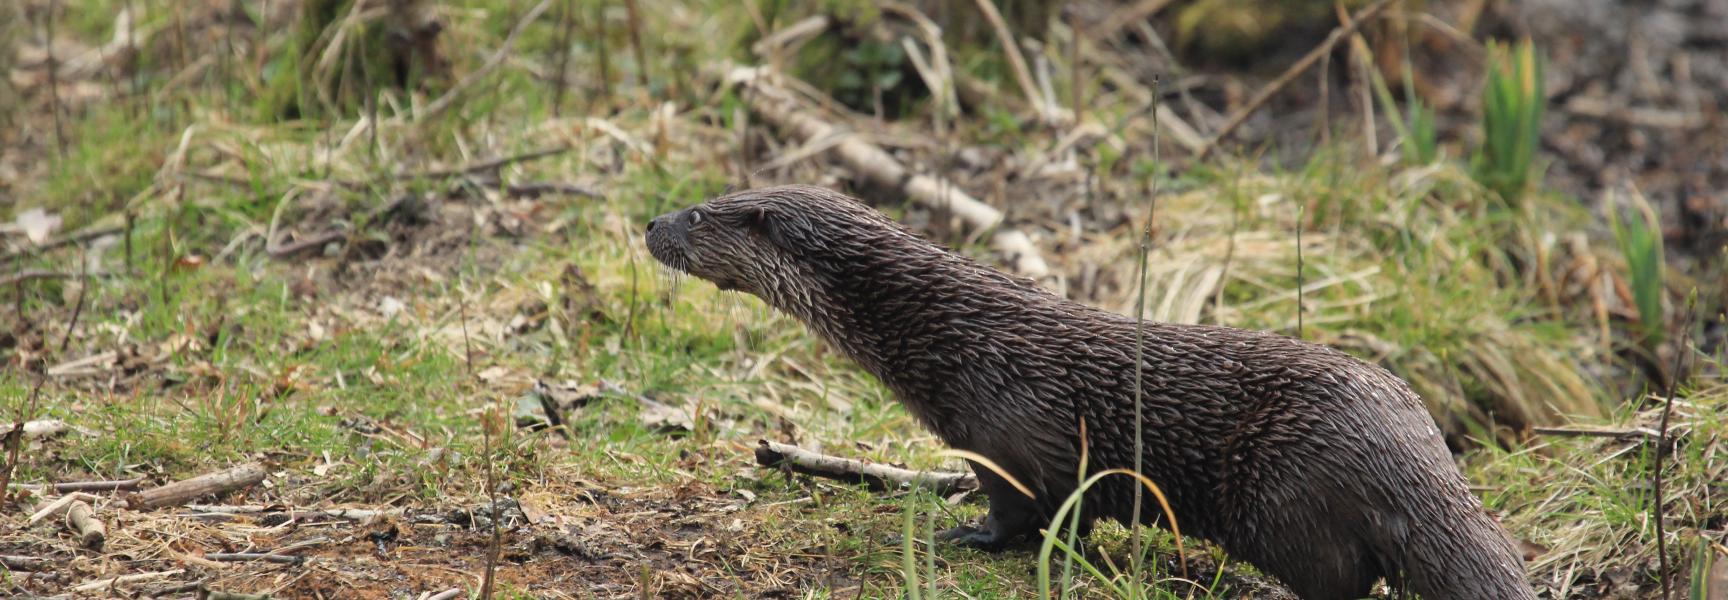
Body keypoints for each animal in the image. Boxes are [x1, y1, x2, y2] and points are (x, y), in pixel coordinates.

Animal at [646, 184, 1535, 600]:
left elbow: (1016, 508)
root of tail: (1415, 453)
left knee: (1339, 577)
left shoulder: (1006, 430)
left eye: (698, 214)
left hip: (1286, 496)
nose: (650, 222)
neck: (946, 338)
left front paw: (964, 535)